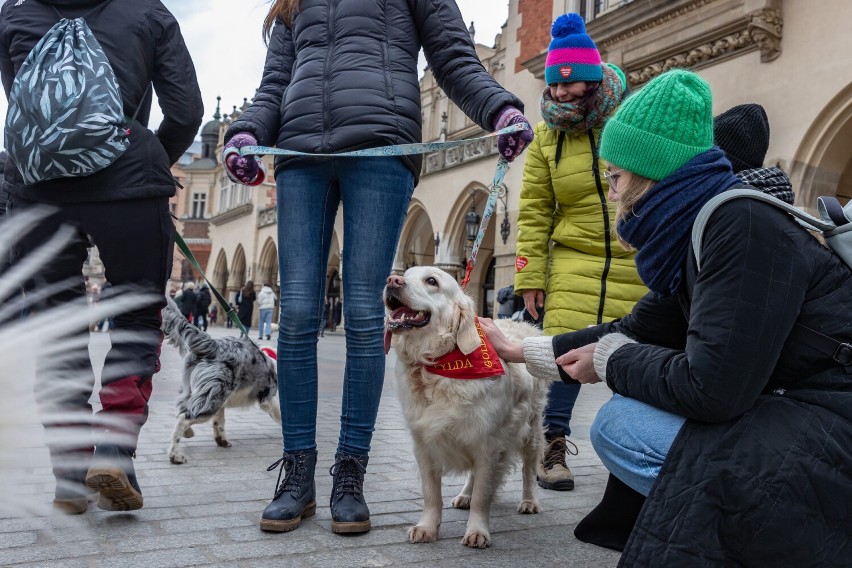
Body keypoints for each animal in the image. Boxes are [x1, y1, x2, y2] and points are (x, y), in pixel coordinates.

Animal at [382, 268, 556, 548]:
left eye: (432, 281)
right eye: (406, 273)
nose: (392, 280)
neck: (438, 366)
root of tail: (522, 325)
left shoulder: (489, 444)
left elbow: (483, 496)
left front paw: (477, 531)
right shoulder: (425, 444)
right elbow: (431, 494)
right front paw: (426, 527)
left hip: (531, 429)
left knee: (529, 469)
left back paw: (529, 501)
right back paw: (465, 495)